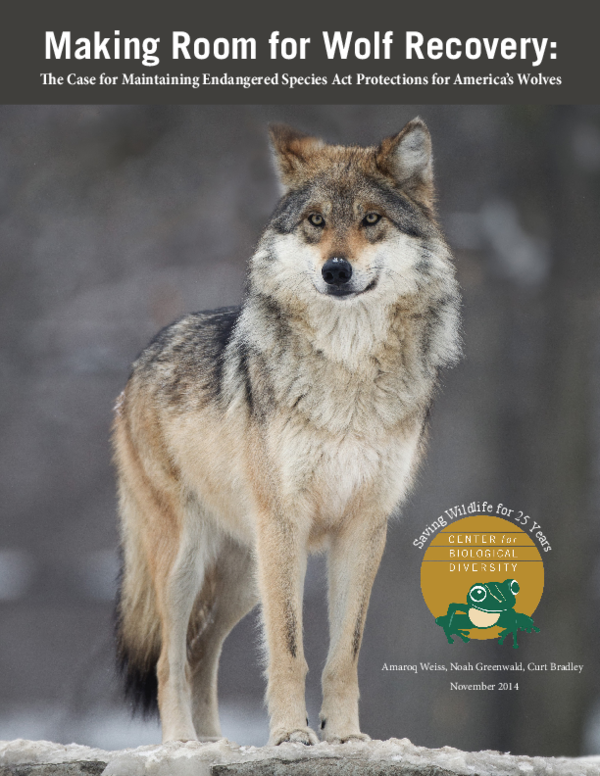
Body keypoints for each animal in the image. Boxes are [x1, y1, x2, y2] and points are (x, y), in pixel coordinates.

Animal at [113, 117, 461, 746]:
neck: (346, 371)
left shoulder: (364, 526)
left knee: (200, 653)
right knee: (168, 659)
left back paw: (218, 744)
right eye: (316, 221)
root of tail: (139, 362)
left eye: (371, 219)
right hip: (189, 561)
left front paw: (343, 737)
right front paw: (290, 736)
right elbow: (288, 649)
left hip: (245, 574)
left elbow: (344, 653)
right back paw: (182, 745)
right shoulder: (285, 521)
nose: (336, 270)